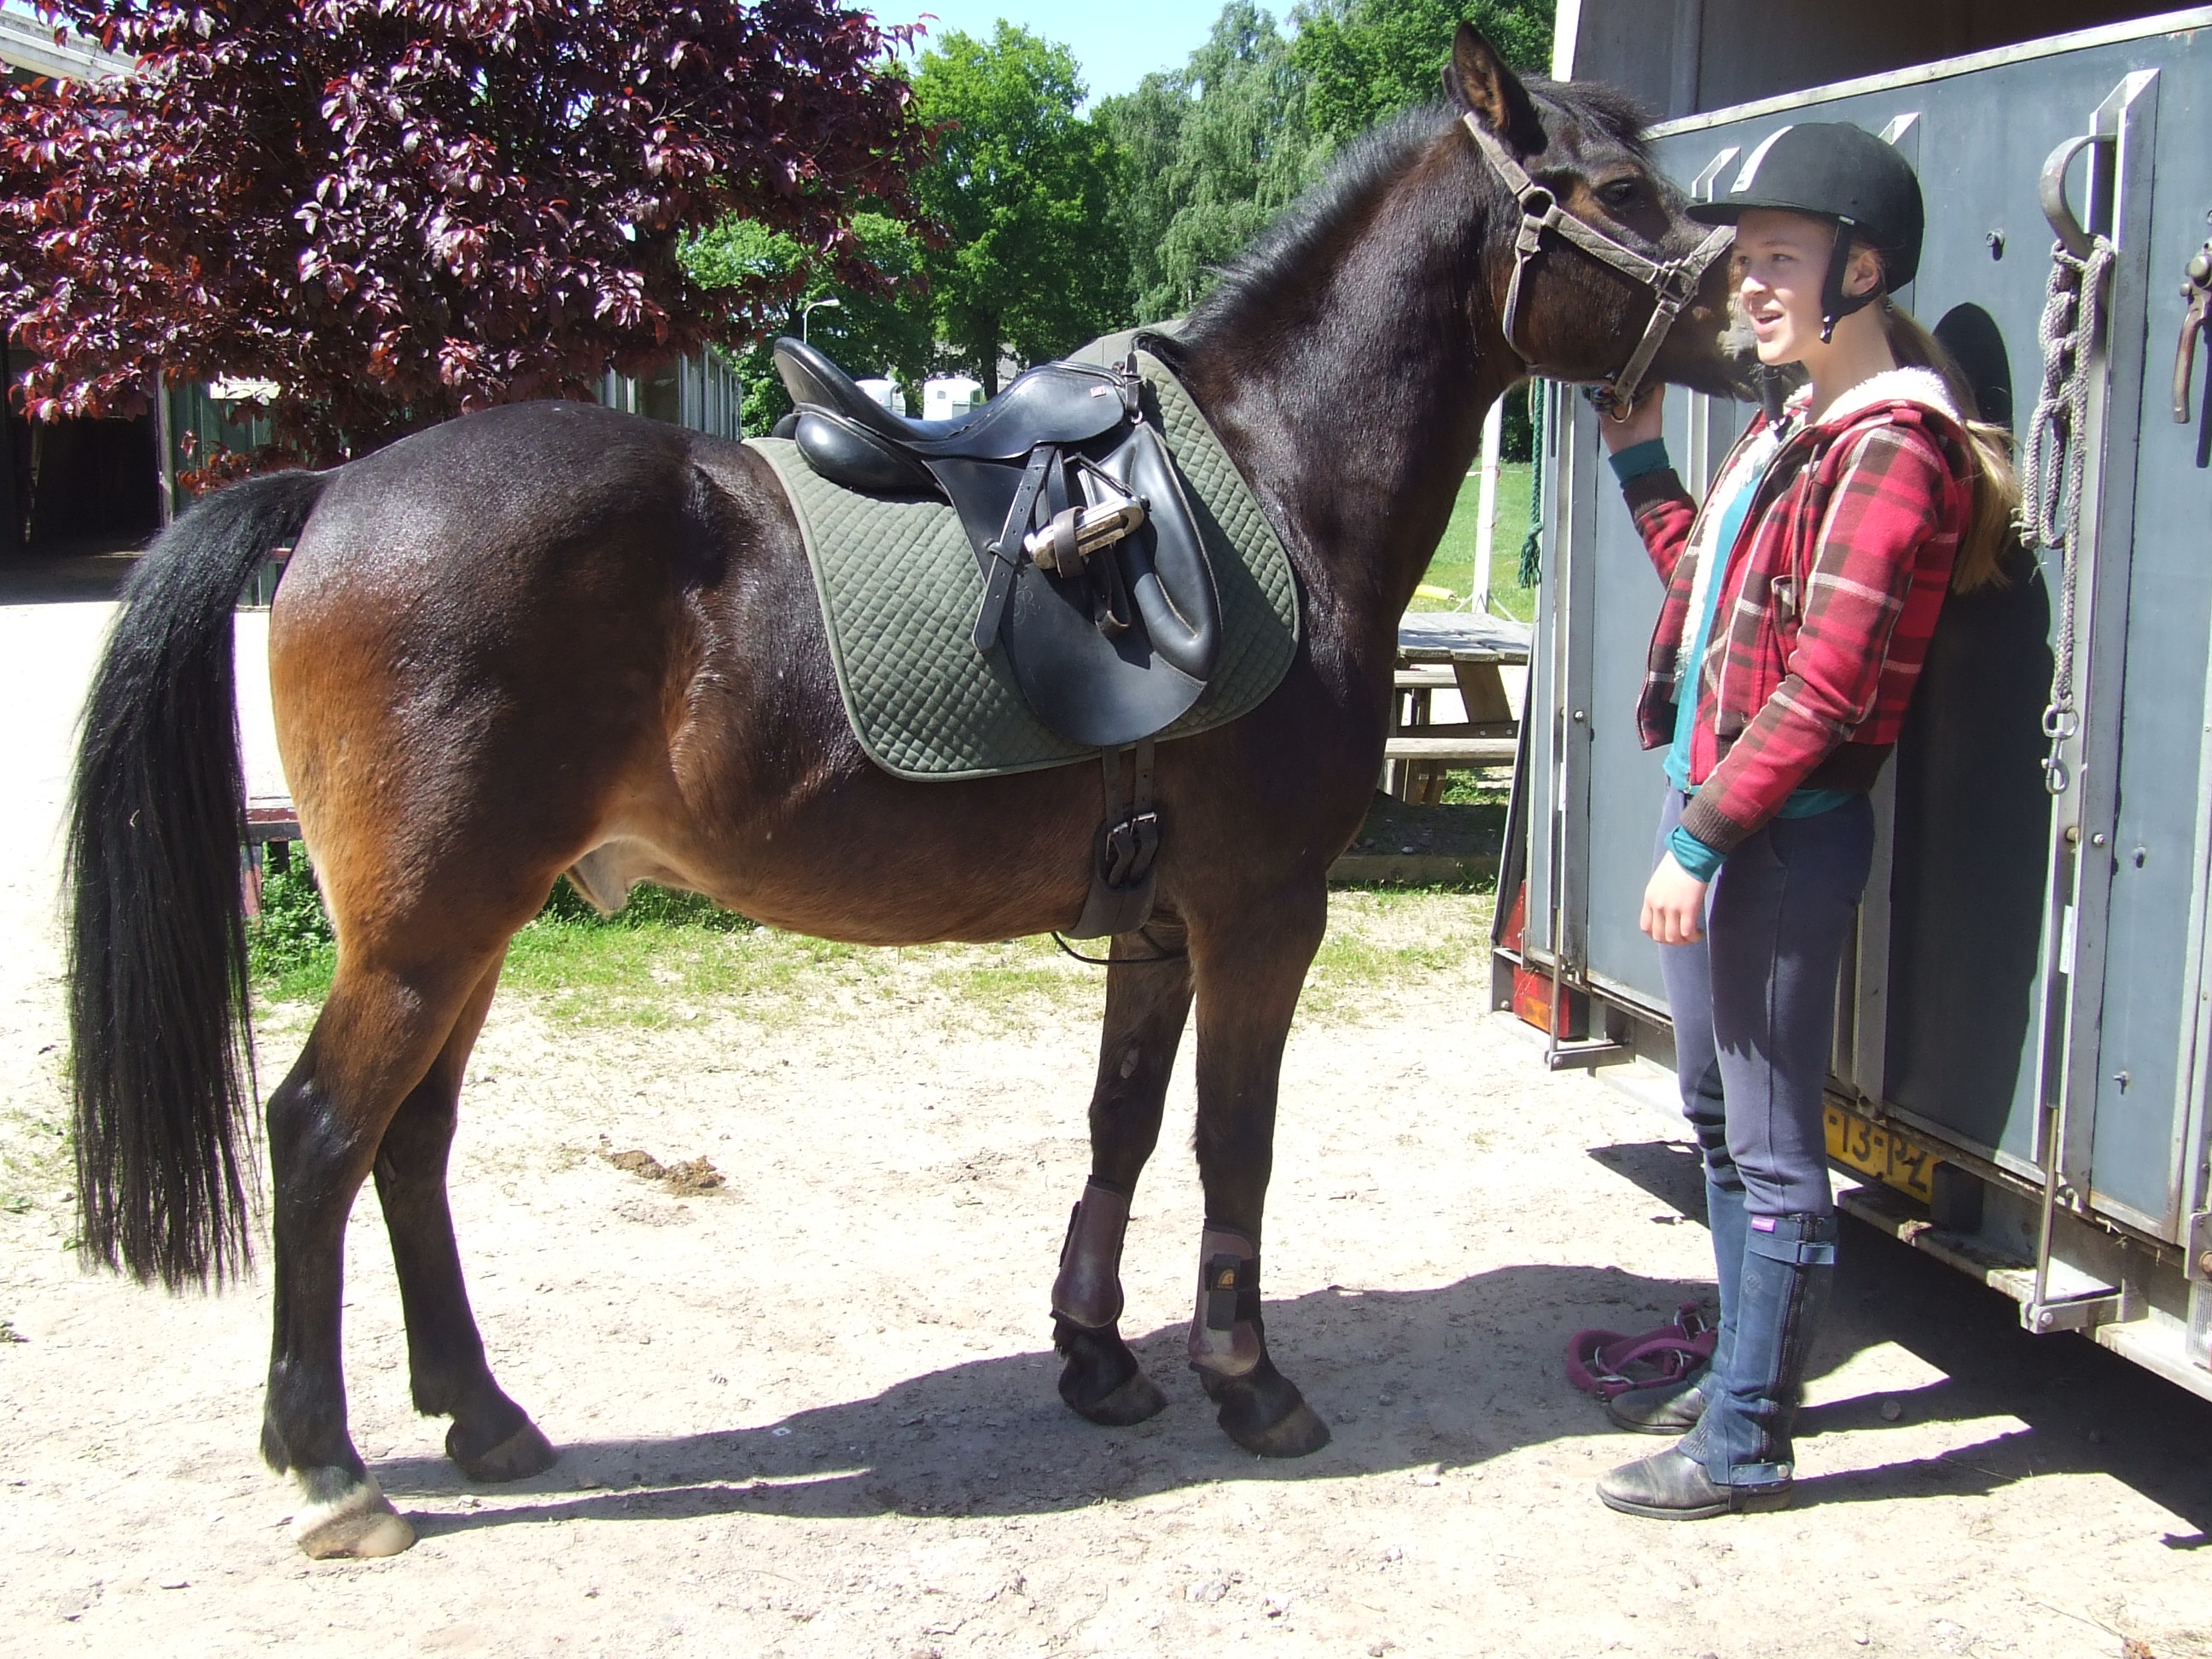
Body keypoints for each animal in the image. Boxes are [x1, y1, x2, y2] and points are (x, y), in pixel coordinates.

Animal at [60, 26, 1734, 1566]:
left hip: (469, 933)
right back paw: (331, 1468)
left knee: (411, 1145)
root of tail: (335, 490)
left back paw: (480, 1415)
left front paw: (1097, 1358)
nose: (1759, 315)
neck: (1272, 487)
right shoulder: (1264, 912)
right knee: (320, 1137)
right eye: (1622, 192)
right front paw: (1247, 1381)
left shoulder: (1157, 920)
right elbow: (1230, 1140)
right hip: (424, 939)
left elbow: (1123, 1124)